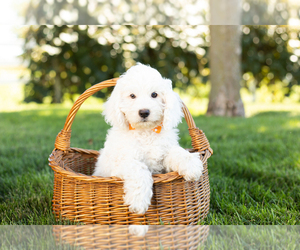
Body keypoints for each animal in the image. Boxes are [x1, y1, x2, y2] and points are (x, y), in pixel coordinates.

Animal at [92, 63, 203, 214]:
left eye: (154, 94)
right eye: (132, 96)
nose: (144, 112)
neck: (146, 132)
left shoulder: (163, 158)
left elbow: (177, 152)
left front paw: (192, 166)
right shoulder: (121, 163)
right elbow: (139, 168)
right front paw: (138, 202)